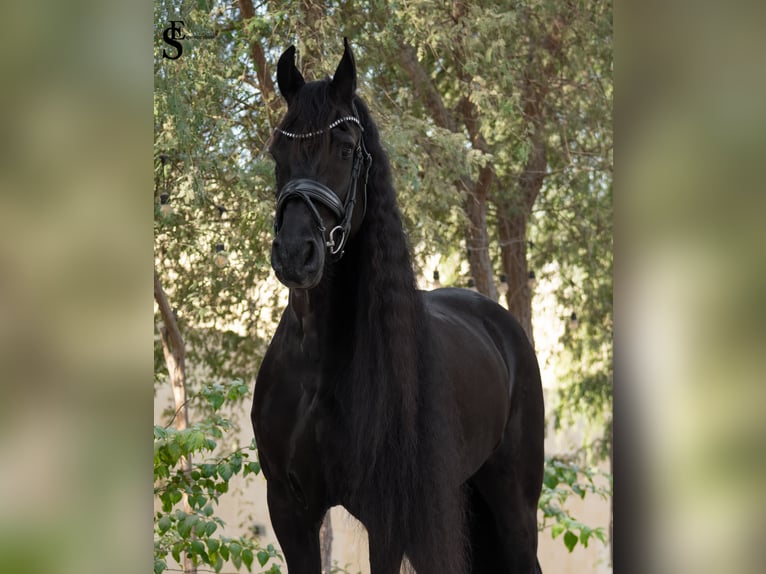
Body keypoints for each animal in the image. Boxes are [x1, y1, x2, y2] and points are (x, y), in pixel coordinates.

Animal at [252, 39, 545, 574]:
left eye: (346, 148)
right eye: (277, 150)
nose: (296, 254)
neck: (316, 363)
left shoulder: (385, 516)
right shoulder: (288, 508)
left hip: (513, 504)